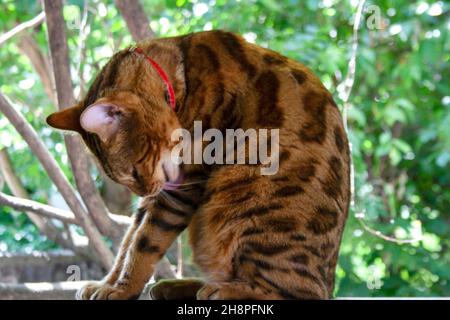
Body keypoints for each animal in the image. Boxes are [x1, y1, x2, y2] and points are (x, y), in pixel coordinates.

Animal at [46, 30, 352, 300]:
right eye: (125, 177)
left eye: (132, 171)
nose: (145, 191)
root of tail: (329, 281)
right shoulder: (164, 190)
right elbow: (128, 241)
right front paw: (106, 283)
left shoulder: (182, 188)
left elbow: (143, 244)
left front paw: (122, 290)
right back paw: (181, 286)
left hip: (247, 208)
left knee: (297, 292)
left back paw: (222, 290)